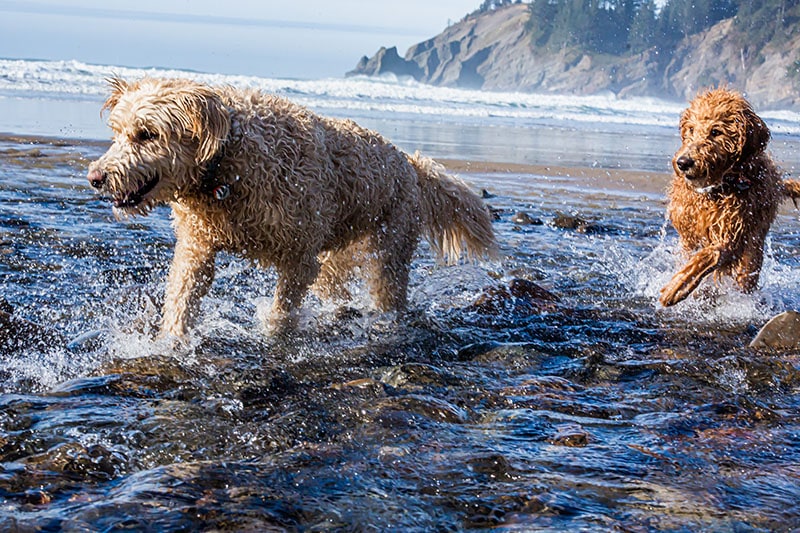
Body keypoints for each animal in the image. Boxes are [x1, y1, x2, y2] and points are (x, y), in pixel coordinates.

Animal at [90, 77, 496, 334]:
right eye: (118, 133)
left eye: (147, 134)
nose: (96, 177)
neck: (227, 164)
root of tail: (409, 164)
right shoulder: (197, 246)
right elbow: (181, 299)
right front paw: (170, 344)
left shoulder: (299, 257)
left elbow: (282, 314)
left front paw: (275, 339)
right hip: (335, 256)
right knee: (335, 289)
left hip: (389, 250)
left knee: (388, 290)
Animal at [660, 86, 796, 304]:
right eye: (691, 129)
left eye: (716, 132)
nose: (683, 162)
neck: (716, 189)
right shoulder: (688, 235)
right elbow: (690, 254)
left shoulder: (732, 236)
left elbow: (707, 256)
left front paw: (678, 287)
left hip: (752, 251)